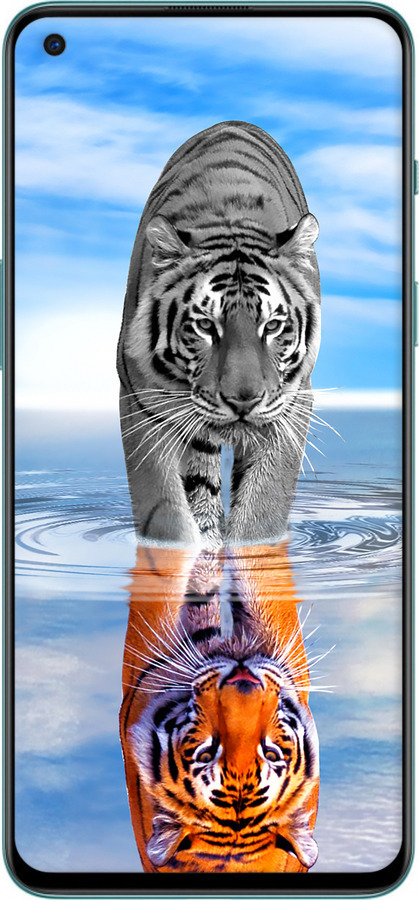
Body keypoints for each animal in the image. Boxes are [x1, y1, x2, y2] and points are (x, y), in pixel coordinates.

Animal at [117, 120, 321, 548]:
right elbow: (164, 511)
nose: (243, 401)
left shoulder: (292, 404)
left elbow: (263, 508)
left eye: (272, 326)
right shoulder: (141, 401)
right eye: (205, 326)